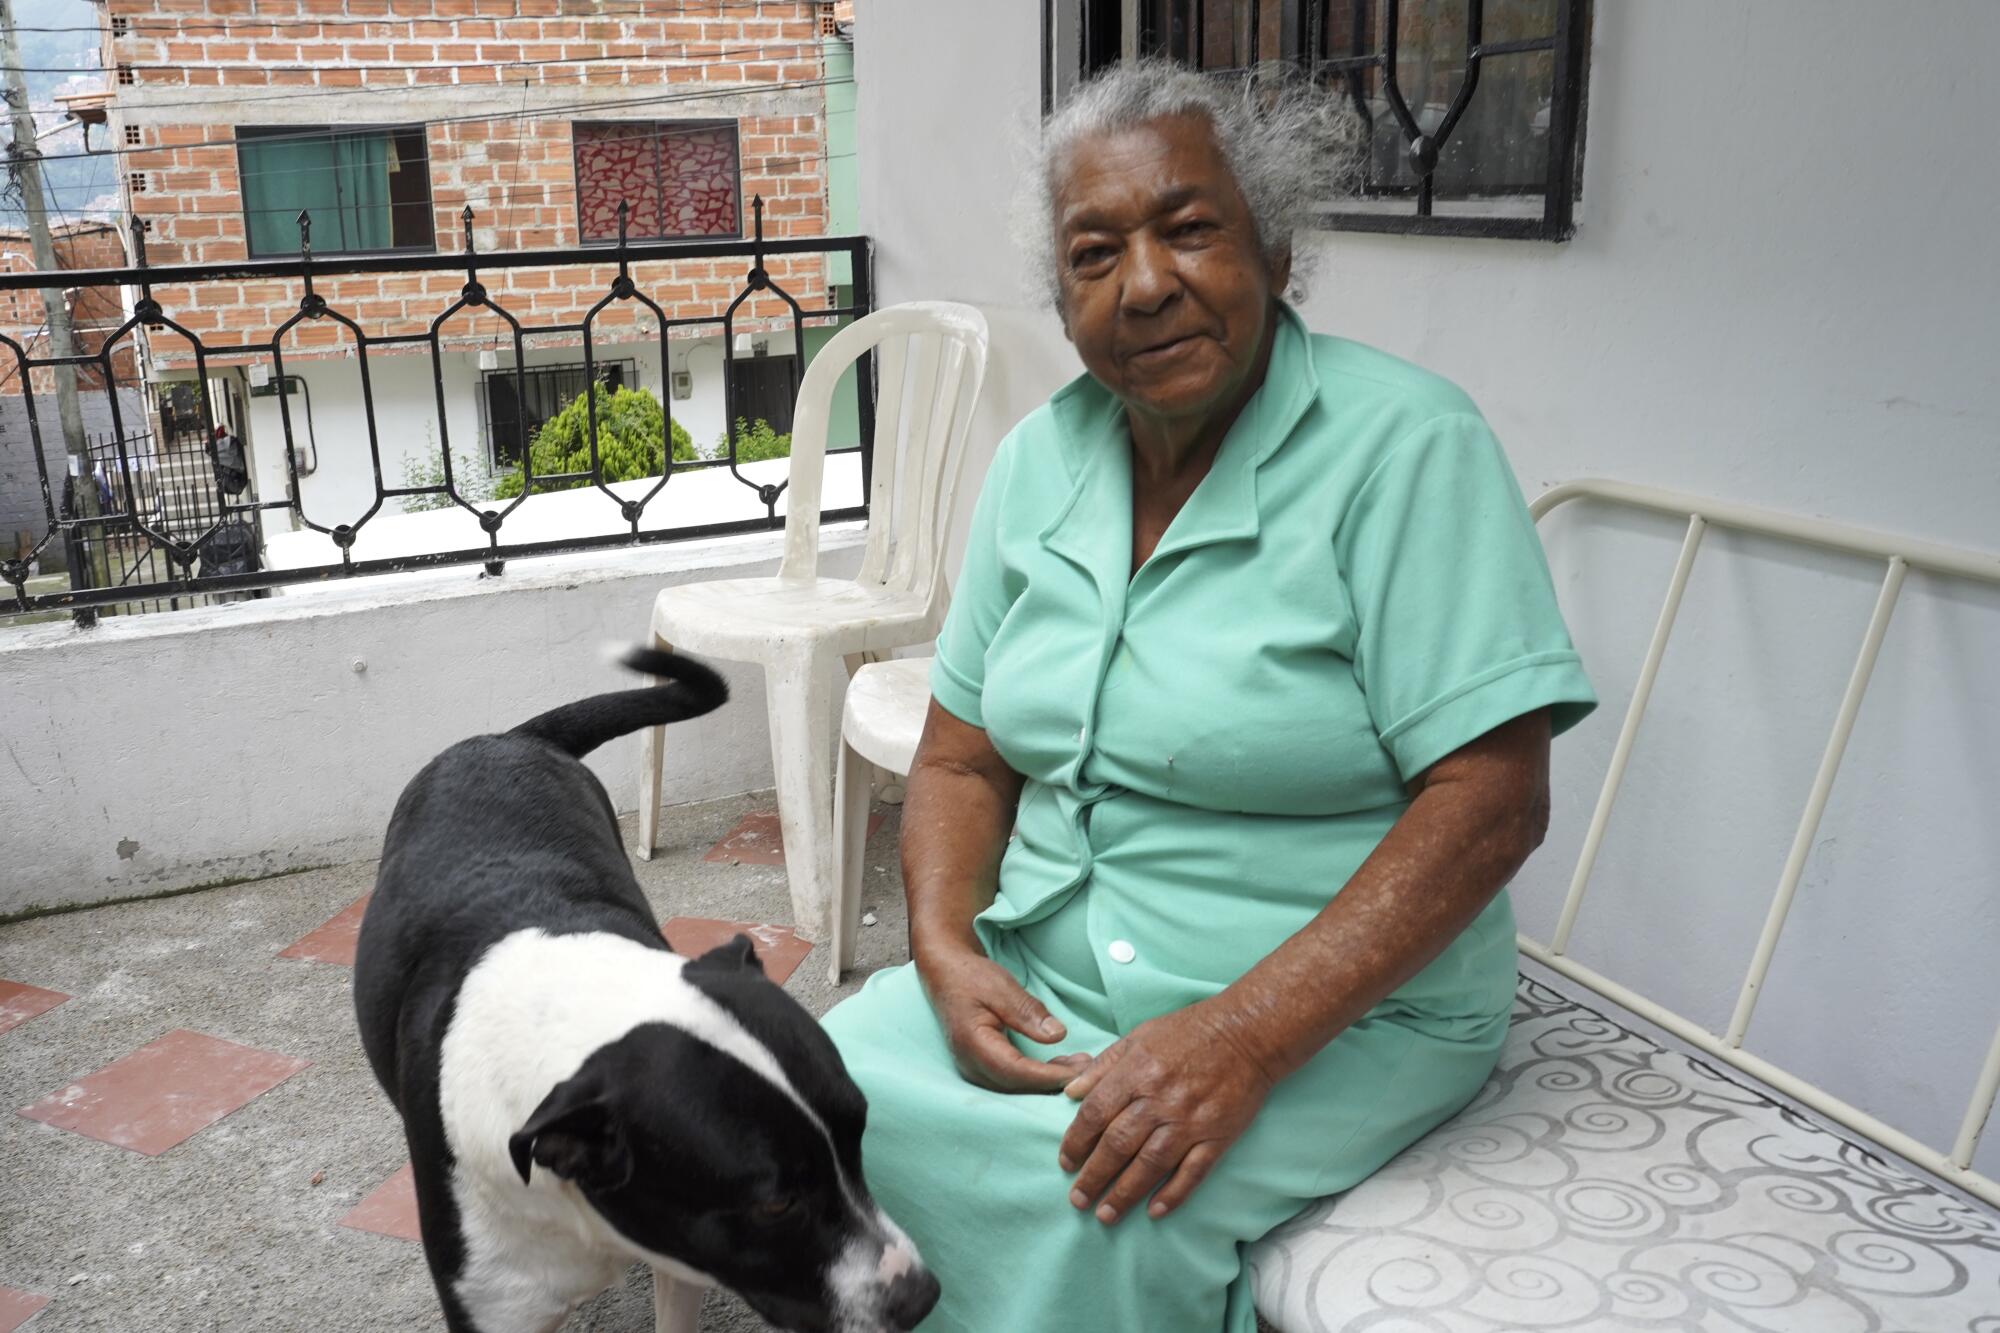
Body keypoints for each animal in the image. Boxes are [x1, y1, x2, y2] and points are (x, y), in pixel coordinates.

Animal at [356, 648, 940, 1328]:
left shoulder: (681, 1266)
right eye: (775, 1205)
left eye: (860, 1132)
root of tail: (506, 737)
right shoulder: (494, 1302)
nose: (920, 1295)